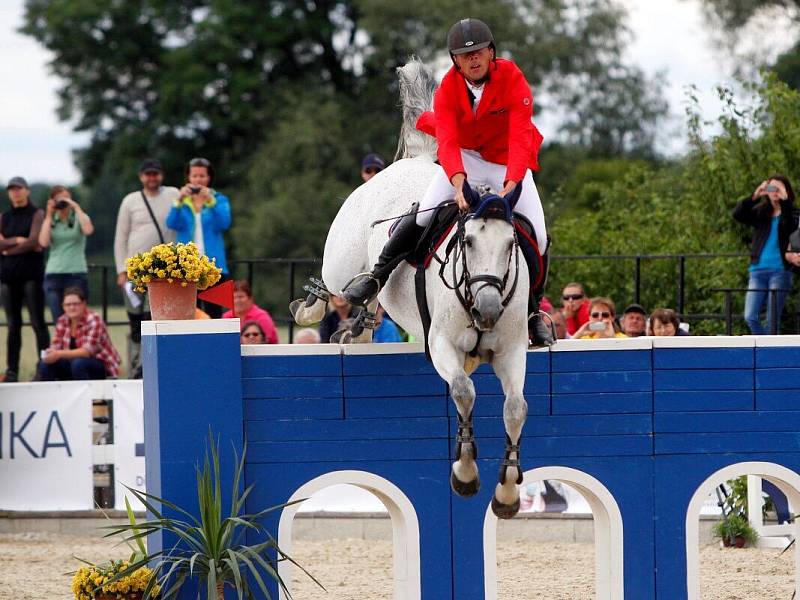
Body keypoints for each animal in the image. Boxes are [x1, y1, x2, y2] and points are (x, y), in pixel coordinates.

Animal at [292, 62, 532, 520]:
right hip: (342, 258)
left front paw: (508, 492)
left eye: (511, 245)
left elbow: (515, 408)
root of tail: (418, 159)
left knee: (367, 314)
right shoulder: (440, 344)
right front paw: (465, 472)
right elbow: (463, 390)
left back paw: (356, 330)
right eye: (467, 242)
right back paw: (312, 310)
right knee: (337, 286)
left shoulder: (511, 351)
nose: (489, 310)